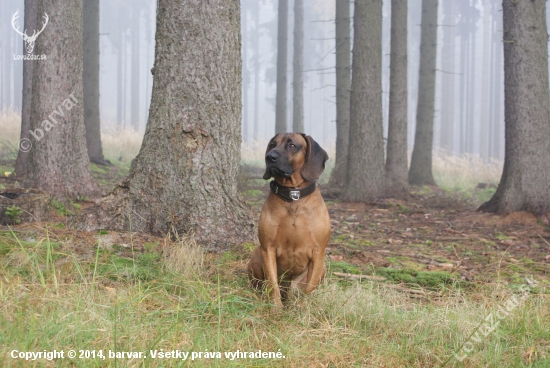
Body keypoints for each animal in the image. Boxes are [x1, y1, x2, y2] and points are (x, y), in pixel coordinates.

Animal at [247, 132, 330, 308]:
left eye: (292, 145)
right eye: (272, 144)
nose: (269, 157)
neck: (293, 197)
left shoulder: (318, 252)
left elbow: (309, 286)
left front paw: (303, 307)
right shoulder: (268, 249)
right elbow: (272, 284)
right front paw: (276, 308)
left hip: (323, 267)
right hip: (256, 256)